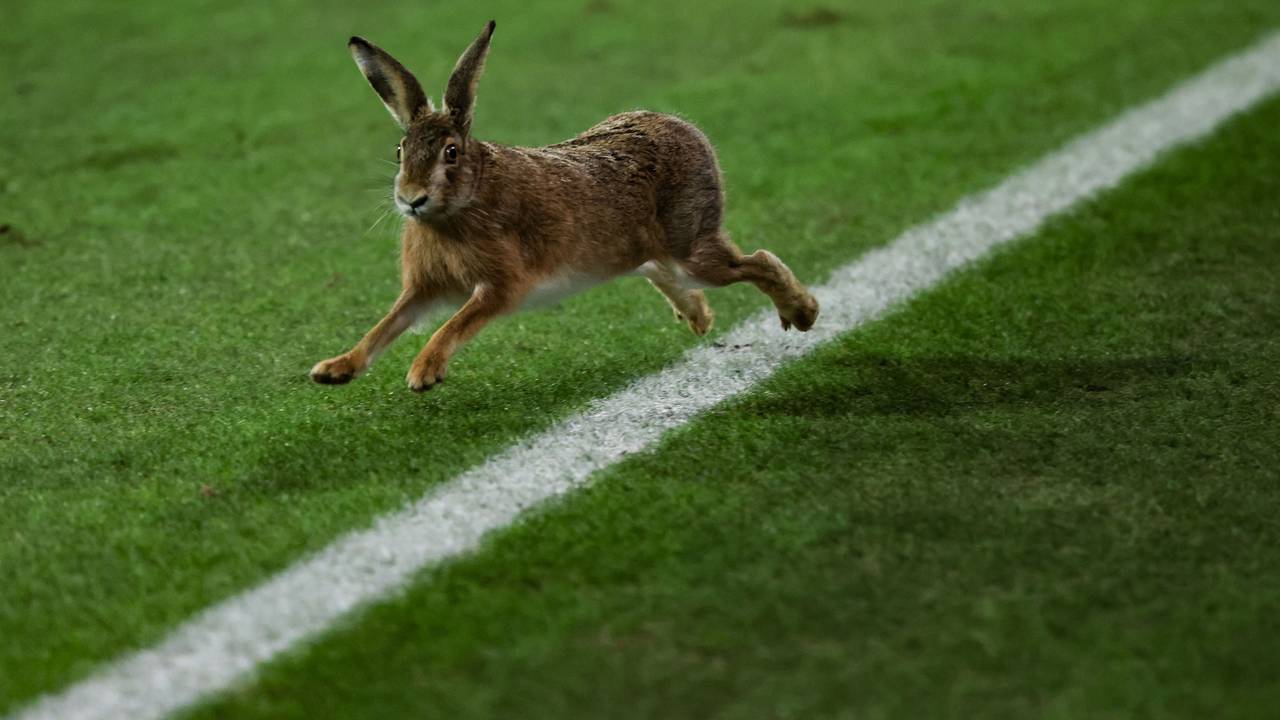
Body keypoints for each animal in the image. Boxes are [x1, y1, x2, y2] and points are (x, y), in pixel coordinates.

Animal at [310, 20, 819, 391]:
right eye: (400, 150)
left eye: (451, 153)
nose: (411, 199)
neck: (464, 203)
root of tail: (684, 129)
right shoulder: (424, 287)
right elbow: (386, 325)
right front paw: (335, 368)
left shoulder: (501, 285)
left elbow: (455, 323)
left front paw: (423, 372)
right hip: (639, 251)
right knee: (661, 270)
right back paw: (699, 317)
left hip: (690, 243)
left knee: (756, 261)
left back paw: (803, 312)